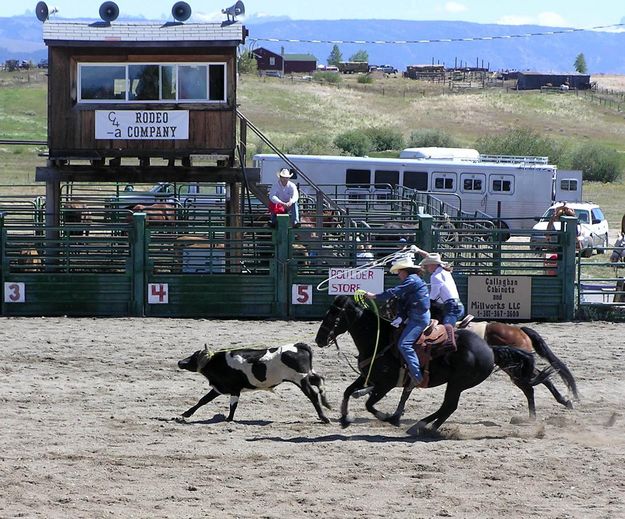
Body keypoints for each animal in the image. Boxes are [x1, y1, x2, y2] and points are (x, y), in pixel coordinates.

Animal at [177, 342, 332, 422]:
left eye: (193, 357)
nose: (180, 362)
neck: (219, 362)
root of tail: (298, 346)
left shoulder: (234, 390)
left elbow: (233, 405)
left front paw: (229, 419)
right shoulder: (219, 388)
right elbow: (203, 400)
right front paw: (186, 414)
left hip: (300, 379)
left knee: (313, 395)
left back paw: (324, 417)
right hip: (307, 375)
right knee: (319, 379)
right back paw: (327, 403)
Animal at [314, 294, 548, 432]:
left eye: (334, 315)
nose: (319, 339)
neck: (379, 340)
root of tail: (490, 349)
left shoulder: (385, 384)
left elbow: (369, 404)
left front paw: (390, 417)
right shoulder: (368, 377)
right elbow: (347, 392)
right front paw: (345, 418)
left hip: (458, 383)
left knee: (449, 406)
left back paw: (423, 426)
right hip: (459, 383)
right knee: (447, 407)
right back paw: (426, 425)